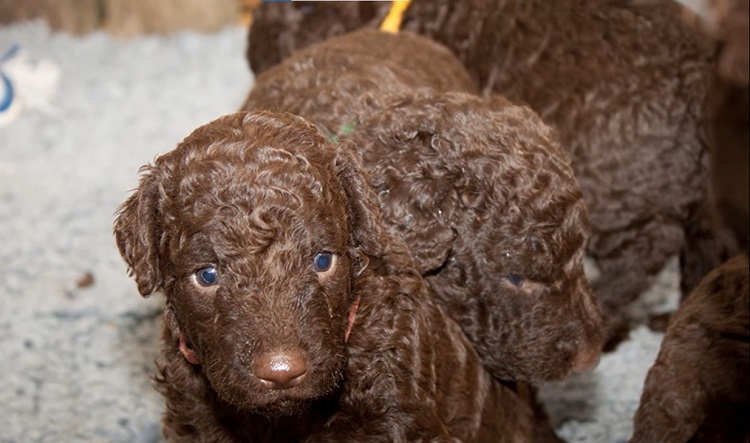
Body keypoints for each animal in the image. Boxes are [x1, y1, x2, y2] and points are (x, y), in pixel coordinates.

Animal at [245, 0, 740, 348]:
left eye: (297, 13)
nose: (252, 58)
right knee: (707, 244)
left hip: (612, 181)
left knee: (652, 245)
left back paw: (614, 318)